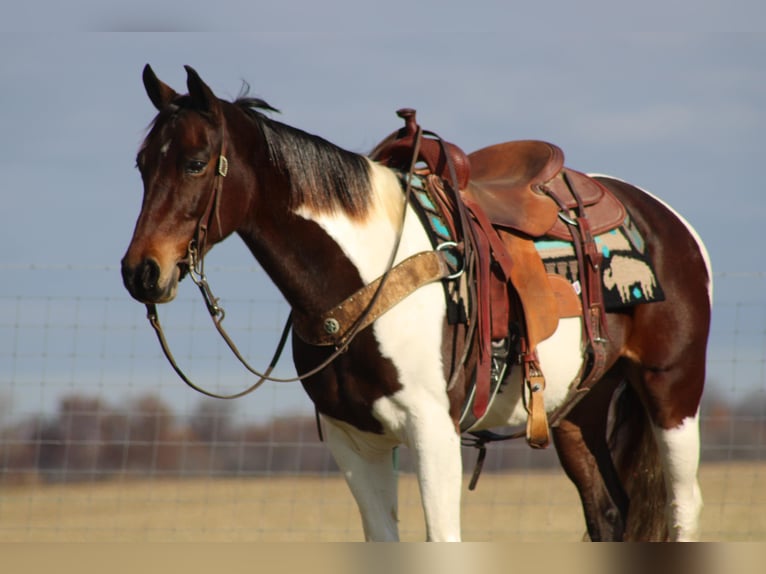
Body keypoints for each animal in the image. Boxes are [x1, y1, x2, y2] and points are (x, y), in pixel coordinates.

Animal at [120, 65, 712, 544]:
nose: (140, 272)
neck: (364, 275)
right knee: (609, 514)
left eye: (197, 163)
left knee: (683, 508)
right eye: (142, 164)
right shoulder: (354, 441)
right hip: (576, 411)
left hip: (673, 391)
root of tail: (666, 218)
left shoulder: (433, 434)